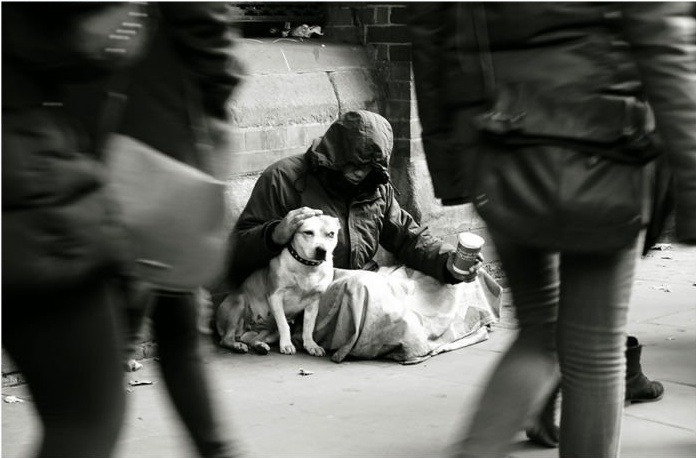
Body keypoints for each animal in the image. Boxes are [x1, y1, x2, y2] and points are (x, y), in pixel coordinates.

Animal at [216, 213, 338, 356]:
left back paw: (260, 346)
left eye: (331, 234)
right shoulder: (275, 296)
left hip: (269, 332)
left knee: (252, 340)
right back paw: (237, 346)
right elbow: (284, 324)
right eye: (308, 232)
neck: (307, 267)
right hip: (238, 303)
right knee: (226, 339)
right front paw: (287, 345)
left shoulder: (313, 302)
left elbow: (309, 327)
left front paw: (311, 345)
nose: (322, 250)